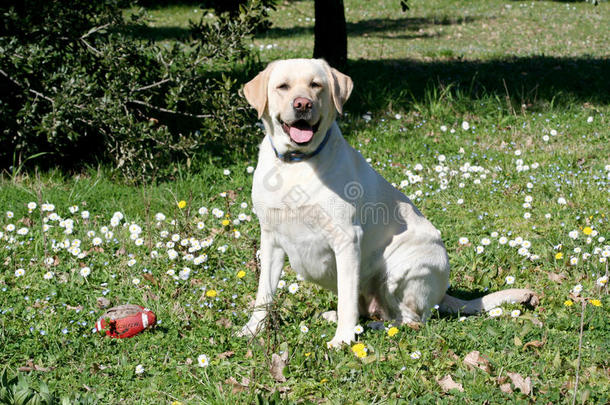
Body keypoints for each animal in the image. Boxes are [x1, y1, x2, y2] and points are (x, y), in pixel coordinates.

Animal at [238, 58, 536, 346]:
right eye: (283, 86)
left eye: (316, 85)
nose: (302, 104)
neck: (297, 164)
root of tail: (442, 295)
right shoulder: (271, 239)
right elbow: (263, 294)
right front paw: (253, 329)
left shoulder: (347, 239)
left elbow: (347, 297)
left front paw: (343, 339)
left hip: (399, 268)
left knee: (412, 319)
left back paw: (376, 327)